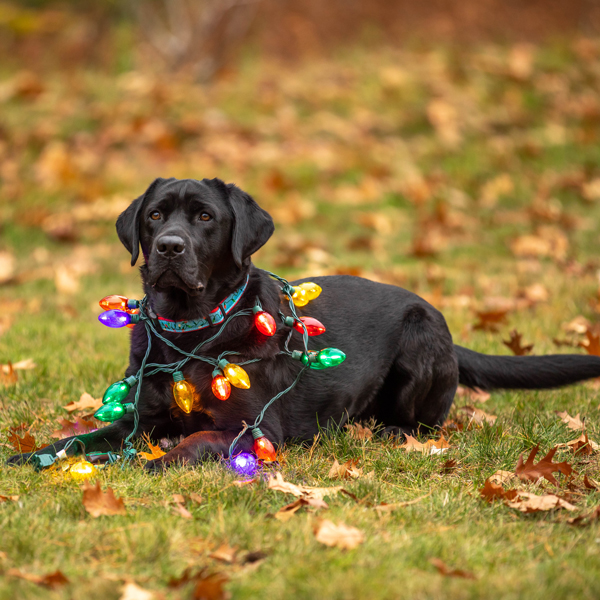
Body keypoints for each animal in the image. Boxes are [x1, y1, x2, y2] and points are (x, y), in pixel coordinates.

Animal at [7, 178, 600, 468]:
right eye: (155, 215)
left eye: (205, 217)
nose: (169, 247)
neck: (193, 329)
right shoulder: (140, 418)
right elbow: (82, 438)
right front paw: (36, 454)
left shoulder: (254, 430)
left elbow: (193, 443)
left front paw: (145, 465)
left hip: (418, 339)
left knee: (422, 425)